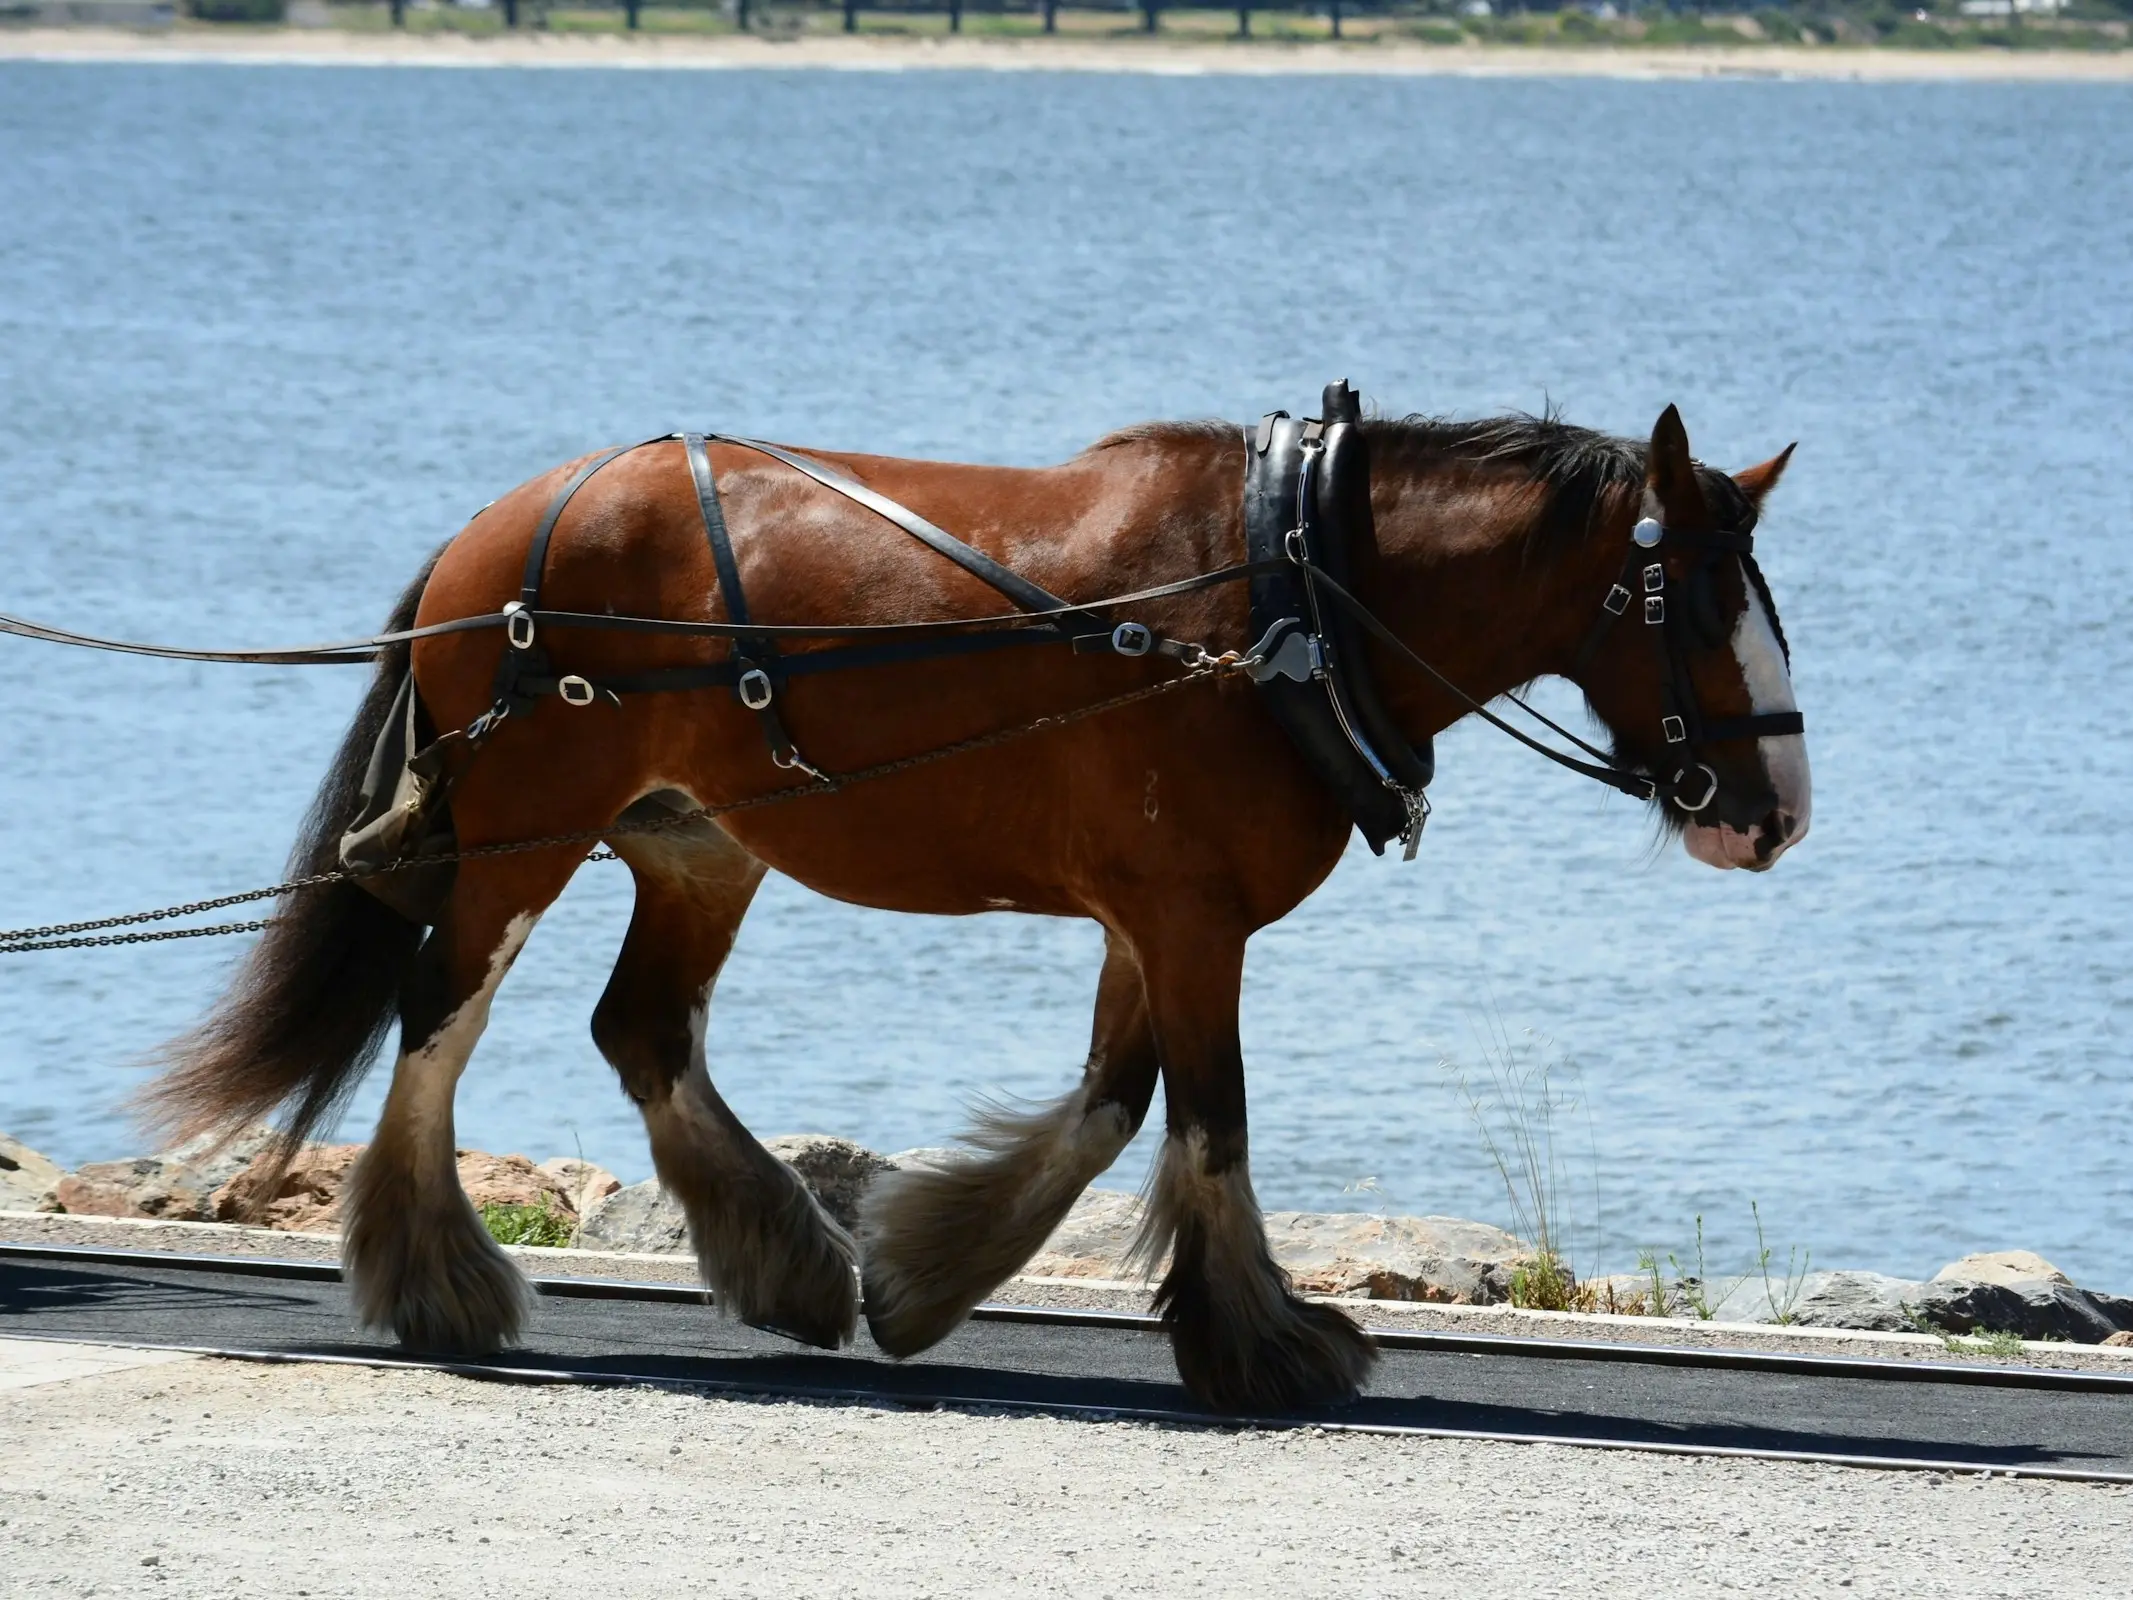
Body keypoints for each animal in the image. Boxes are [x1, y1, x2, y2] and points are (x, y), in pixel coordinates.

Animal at [146, 401, 1800, 1416]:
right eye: (1692, 599)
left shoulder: (1155, 918)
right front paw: (1268, 1341)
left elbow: (1113, 1104)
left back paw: (786, 1260)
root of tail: (507, 522)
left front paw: (928, 1273)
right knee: (441, 1014)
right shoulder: (1189, 918)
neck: (1284, 592)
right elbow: (1208, 1117)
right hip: (522, 837)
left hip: (695, 846)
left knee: (644, 1031)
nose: (1777, 811)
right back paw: (438, 1280)